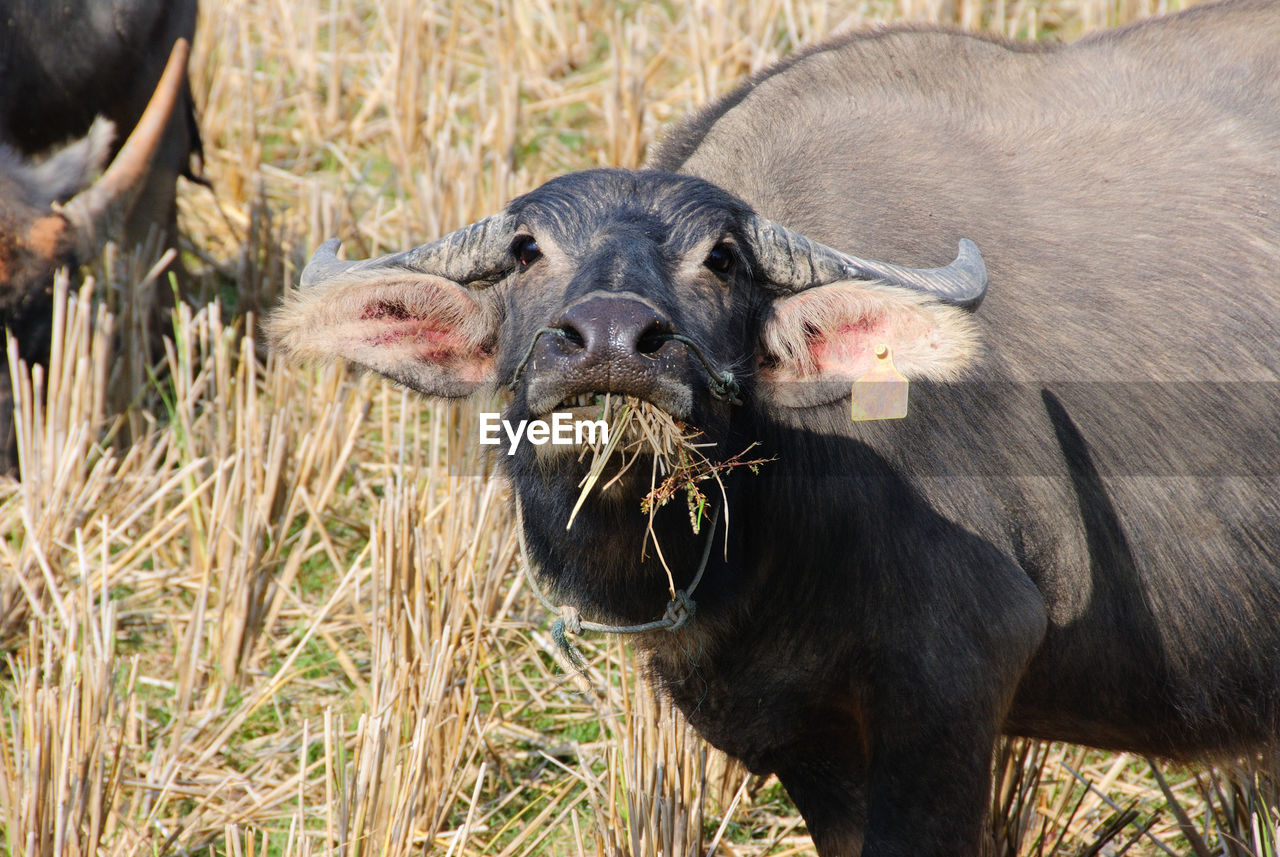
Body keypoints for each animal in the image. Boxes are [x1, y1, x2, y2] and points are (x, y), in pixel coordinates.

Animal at [270, 3, 1280, 854]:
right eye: (525, 251)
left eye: (720, 258)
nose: (612, 341)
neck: (765, 532)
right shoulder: (804, 727)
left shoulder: (957, 674)